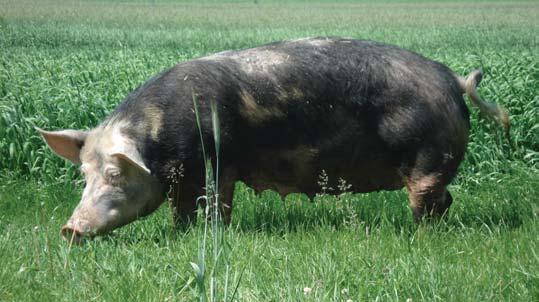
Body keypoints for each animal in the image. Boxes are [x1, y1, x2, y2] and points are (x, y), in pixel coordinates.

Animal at [39, 36, 510, 242]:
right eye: (84, 174)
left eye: (115, 173)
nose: (69, 228)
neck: (159, 138)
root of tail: (452, 78)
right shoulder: (183, 178)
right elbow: (181, 210)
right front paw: (182, 233)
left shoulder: (217, 162)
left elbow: (216, 204)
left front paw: (211, 234)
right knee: (445, 200)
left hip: (429, 157)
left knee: (431, 200)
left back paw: (419, 235)